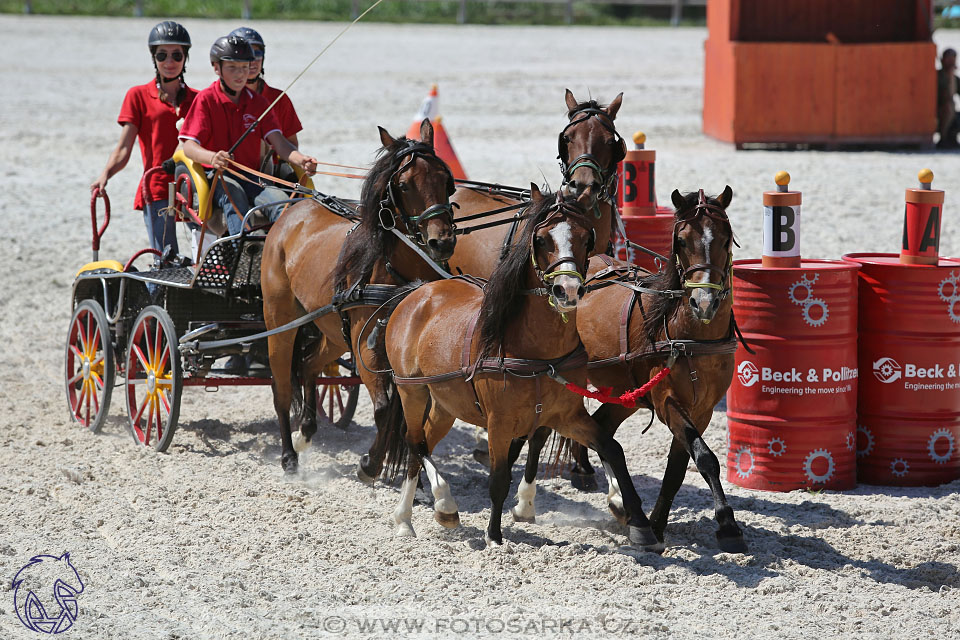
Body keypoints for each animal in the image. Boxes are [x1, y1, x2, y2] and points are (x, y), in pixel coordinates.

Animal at [262, 122, 458, 478]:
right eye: (404, 185)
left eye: (446, 180)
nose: (442, 241)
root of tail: (293, 210)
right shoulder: (365, 343)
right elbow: (383, 408)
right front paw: (370, 463)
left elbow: (410, 413)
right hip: (281, 320)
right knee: (281, 387)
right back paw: (288, 456)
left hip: (333, 331)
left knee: (309, 363)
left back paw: (307, 429)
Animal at [380, 186, 660, 552]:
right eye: (540, 239)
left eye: (587, 238)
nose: (568, 290)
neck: (537, 352)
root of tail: (418, 291)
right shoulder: (499, 423)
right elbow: (499, 479)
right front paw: (494, 536)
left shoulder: (565, 415)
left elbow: (613, 449)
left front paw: (641, 525)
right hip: (411, 390)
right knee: (414, 442)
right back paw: (435, 507)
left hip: (446, 403)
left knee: (422, 443)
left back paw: (414, 516)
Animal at [520, 186, 748, 556]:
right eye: (680, 241)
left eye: (726, 239)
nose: (704, 302)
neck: (689, 335)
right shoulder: (667, 401)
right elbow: (705, 457)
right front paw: (727, 524)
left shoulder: (701, 410)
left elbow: (678, 468)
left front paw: (655, 522)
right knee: (541, 431)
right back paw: (525, 501)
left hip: (623, 391)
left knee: (601, 428)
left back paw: (616, 500)